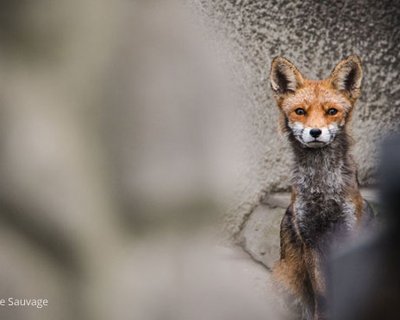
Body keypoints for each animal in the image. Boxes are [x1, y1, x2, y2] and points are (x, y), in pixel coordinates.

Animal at [268, 55, 376, 320]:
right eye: (300, 112)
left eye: (331, 112)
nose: (315, 132)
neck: (322, 190)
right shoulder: (311, 241)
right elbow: (323, 296)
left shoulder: (349, 232)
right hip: (284, 279)